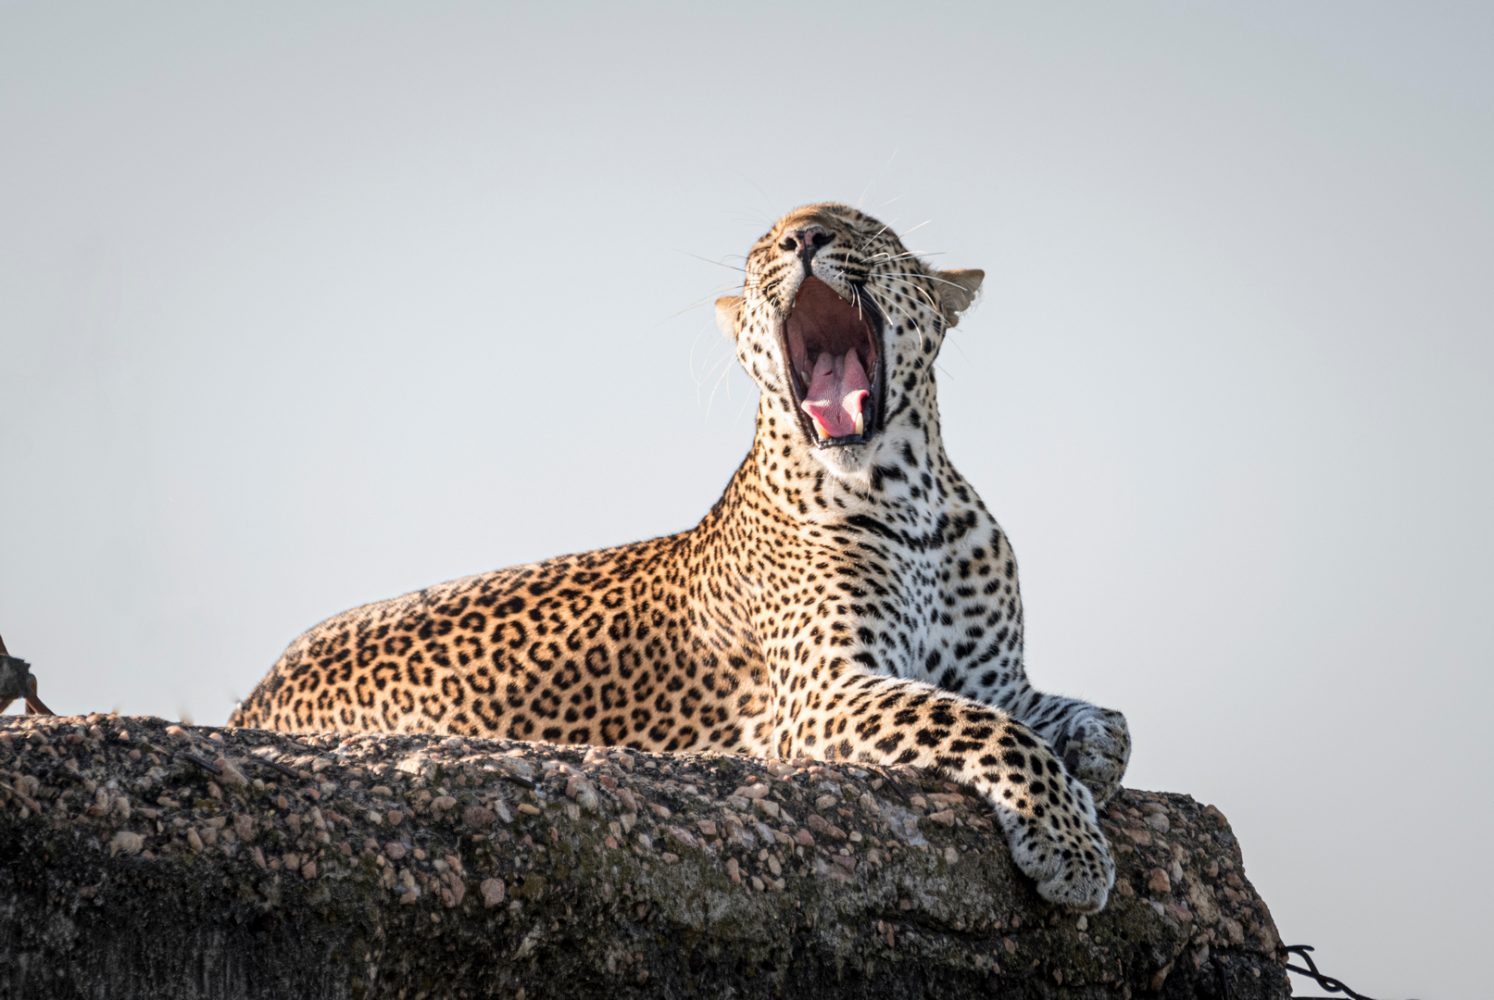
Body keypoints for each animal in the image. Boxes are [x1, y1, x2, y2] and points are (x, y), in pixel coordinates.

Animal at [230, 200, 1129, 902]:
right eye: (765, 244)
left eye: (866, 227)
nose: (806, 237)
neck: (914, 501)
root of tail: (250, 702)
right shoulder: (824, 687)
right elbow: (985, 728)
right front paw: (1070, 845)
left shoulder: (995, 676)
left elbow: (1097, 717)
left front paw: (1092, 757)